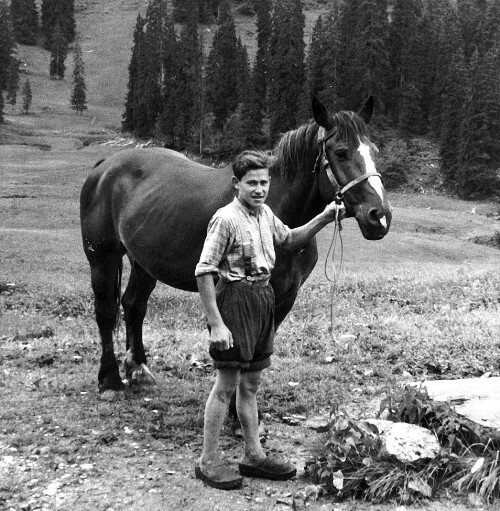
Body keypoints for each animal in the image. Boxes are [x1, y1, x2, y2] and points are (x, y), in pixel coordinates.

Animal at [80, 97, 392, 392]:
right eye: (341, 152)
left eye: (374, 151)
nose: (380, 216)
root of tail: (104, 167)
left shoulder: (284, 297)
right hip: (102, 259)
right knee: (106, 312)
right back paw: (110, 379)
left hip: (145, 262)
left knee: (134, 305)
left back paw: (137, 369)